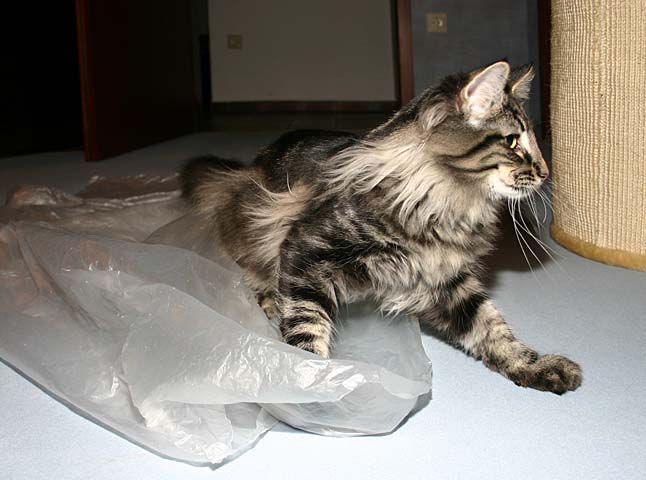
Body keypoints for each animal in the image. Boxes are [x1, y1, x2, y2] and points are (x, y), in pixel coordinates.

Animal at [182, 61, 582, 394]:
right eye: (513, 142)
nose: (546, 172)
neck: (440, 205)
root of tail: (248, 166)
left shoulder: (447, 279)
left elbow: (492, 328)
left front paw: (535, 366)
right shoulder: (305, 251)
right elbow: (307, 325)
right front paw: (312, 381)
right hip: (253, 229)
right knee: (254, 274)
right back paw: (266, 302)